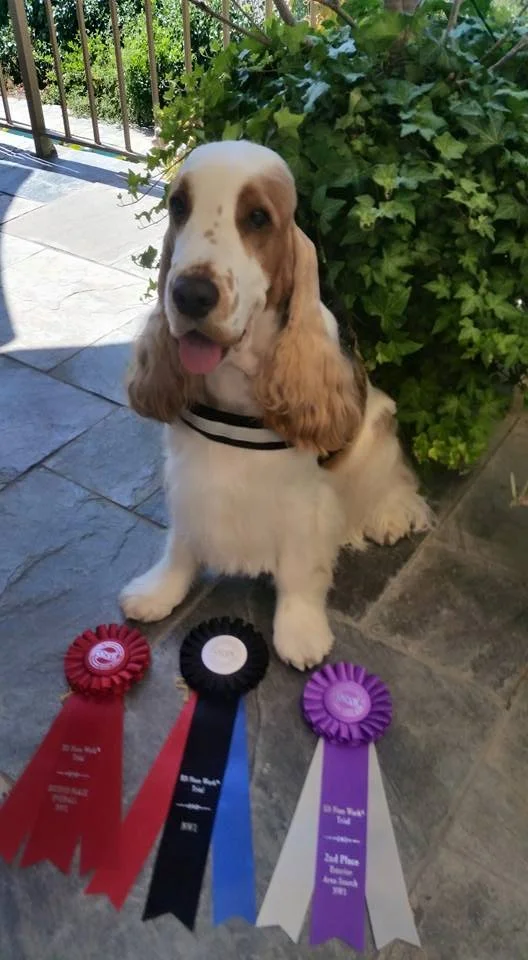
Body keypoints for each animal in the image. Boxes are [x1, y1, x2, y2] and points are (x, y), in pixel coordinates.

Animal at [120, 140, 431, 669]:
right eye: (179, 206)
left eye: (258, 218)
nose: (190, 294)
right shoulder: (188, 479)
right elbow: (181, 544)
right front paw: (158, 592)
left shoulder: (303, 500)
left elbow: (300, 572)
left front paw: (301, 634)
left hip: (375, 430)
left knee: (392, 480)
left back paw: (389, 516)